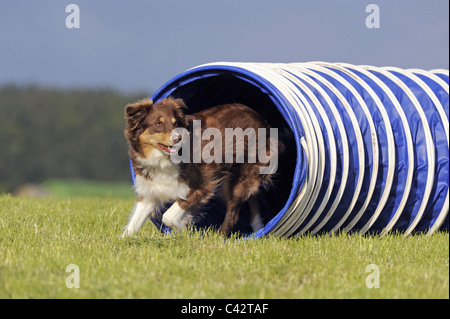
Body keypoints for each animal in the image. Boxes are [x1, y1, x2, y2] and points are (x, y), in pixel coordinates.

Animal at [121, 97, 280, 238]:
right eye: (158, 123)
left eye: (175, 123)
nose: (178, 138)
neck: (162, 160)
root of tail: (260, 119)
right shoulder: (151, 191)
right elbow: (133, 224)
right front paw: (123, 241)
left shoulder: (202, 186)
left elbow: (168, 217)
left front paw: (185, 228)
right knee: (253, 199)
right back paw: (259, 229)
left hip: (240, 177)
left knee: (234, 213)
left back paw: (218, 238)